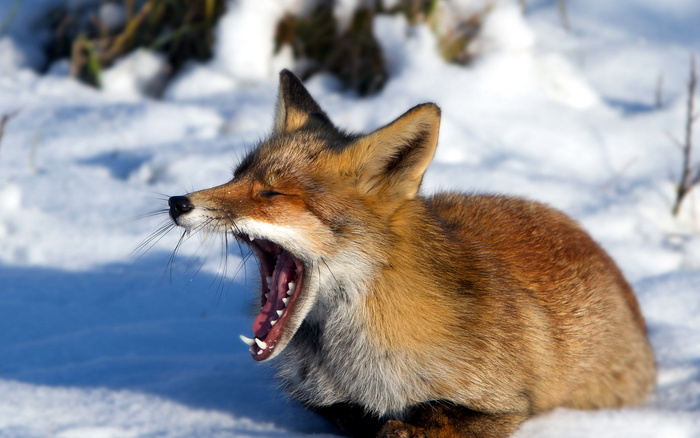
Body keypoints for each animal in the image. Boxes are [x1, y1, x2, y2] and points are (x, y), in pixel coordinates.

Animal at [168, 70, 656, 436]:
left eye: (271, 193)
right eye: (236, 175)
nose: (176, 202)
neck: (353, 359)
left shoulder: (509, 403)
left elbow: (439, 416)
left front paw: (409, 424)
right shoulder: (321, 401)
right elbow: (355, 417)